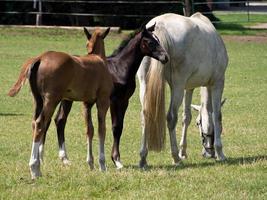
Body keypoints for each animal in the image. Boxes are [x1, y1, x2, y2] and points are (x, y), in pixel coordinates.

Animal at [138, 12, 228, 167]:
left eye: (198, 123)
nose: (208, 153)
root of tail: (159, 24)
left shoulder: (189, 87)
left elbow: (186, 117)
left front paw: (183, 151)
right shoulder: (217, 83)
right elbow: (216, 115)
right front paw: (220, 153)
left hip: (145, 83)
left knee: (145, 115)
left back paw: (143, 158)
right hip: (177, 86)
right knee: (171, 117)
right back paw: (175, 158)